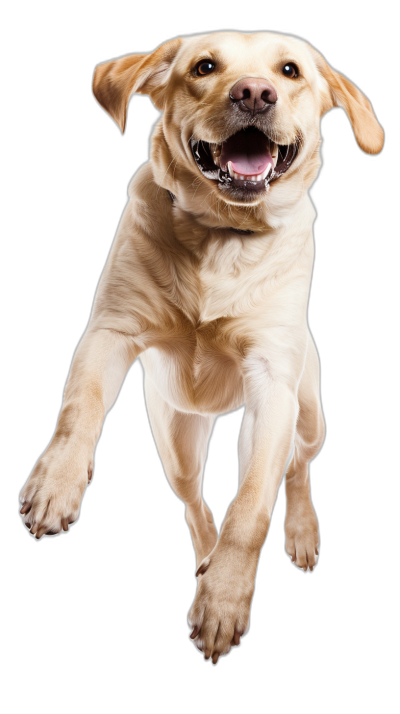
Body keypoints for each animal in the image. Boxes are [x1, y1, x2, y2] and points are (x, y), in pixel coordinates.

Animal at [20, 29, 382, 660]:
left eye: (289, 71)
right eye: (204, 67)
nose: (254, 92)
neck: (224, 234)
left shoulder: (273, 386)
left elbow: (252, 507)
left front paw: (225, 600)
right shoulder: (110, 331)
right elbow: (79, 410)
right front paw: (55, 485)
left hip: (305, 414)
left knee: (295, 467)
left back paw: (298, 531)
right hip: (176, 441)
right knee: (194, 504)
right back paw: (205, 556)